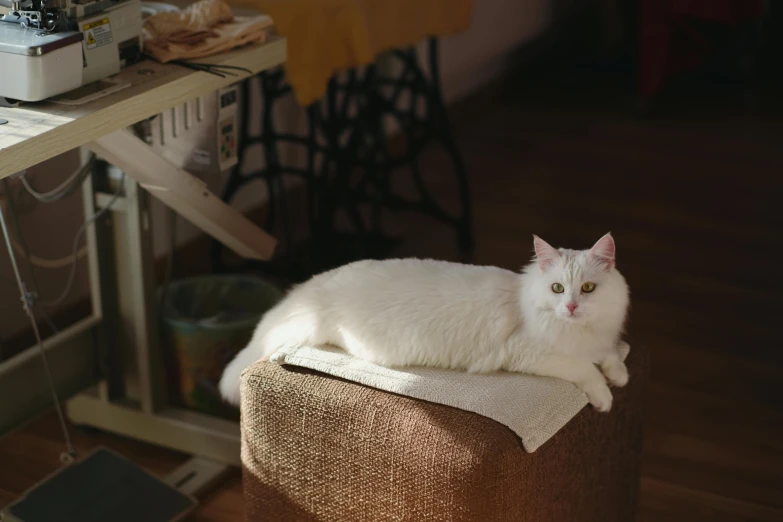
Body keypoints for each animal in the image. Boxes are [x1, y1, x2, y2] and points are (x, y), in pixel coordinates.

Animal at [219, 233, 632, 410]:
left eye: (588, 288)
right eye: (558, 288)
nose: (572, 307)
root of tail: (312, 284)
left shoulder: (600, 338)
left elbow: (610, 354)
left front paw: (620, 374)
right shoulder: (533, 353)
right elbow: (585, 369)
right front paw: (605, 396)